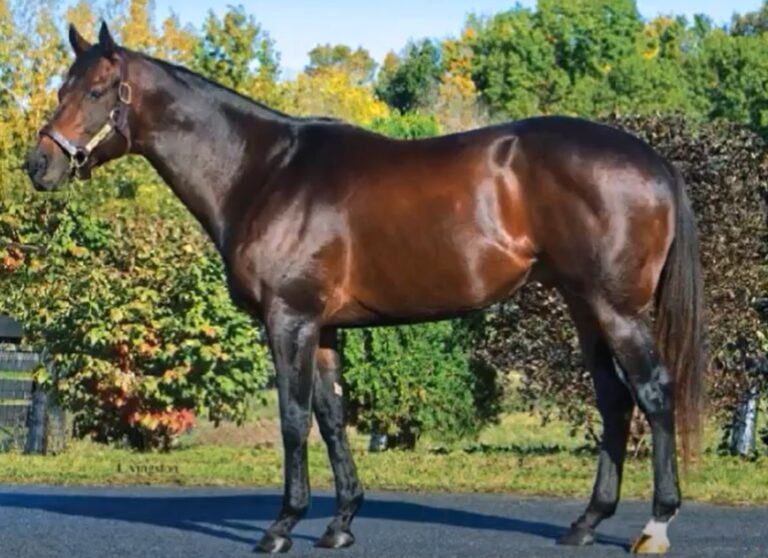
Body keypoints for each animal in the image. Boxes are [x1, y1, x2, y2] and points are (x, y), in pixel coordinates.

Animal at [26, 22, 705, 555]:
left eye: (94, 91)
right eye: (60, 89)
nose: (39, 165)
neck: (263, 172)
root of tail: (653, 162)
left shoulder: (289, 319)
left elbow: (294, 417)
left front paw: (282, 526)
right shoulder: (323, 327)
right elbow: (332, 417)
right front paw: (340, 523)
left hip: (616, 309)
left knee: (653, 391)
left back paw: (656, 525)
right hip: (584, 306)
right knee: (614, 401)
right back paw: (586, 522)